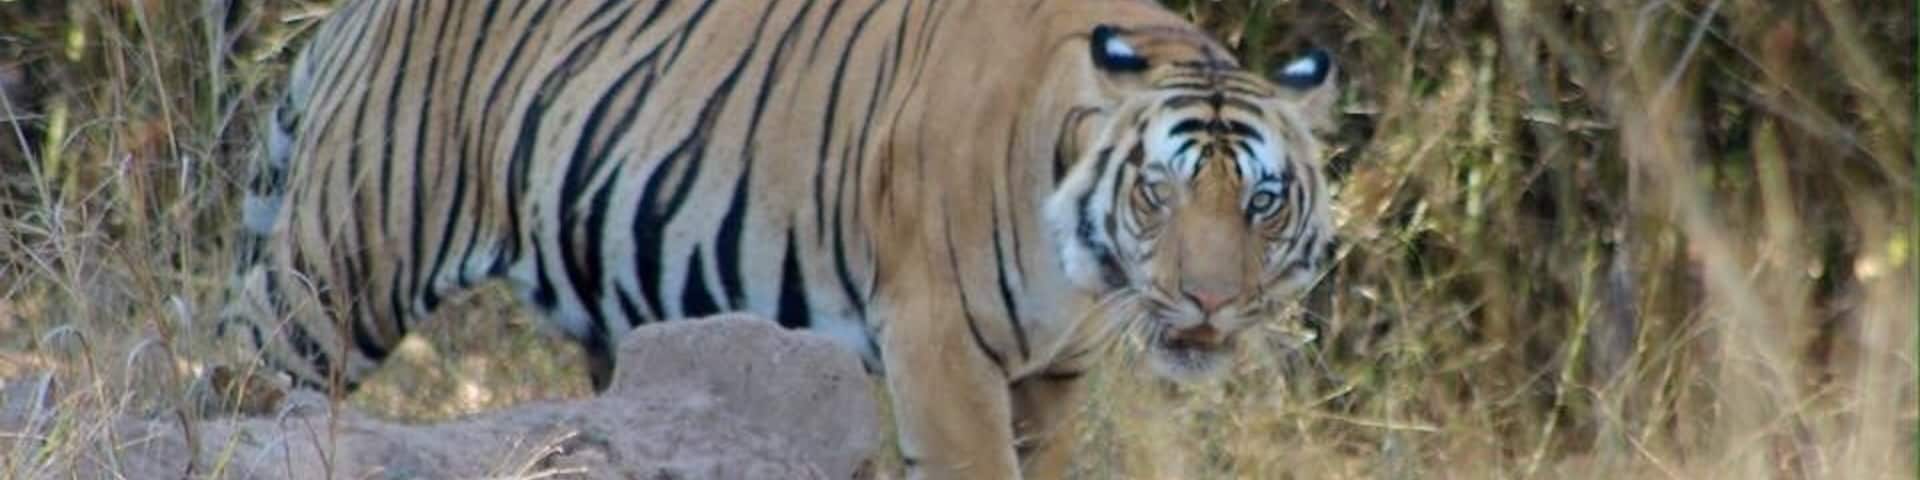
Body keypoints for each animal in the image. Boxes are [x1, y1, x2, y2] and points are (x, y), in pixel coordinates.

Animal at [220, 0, 1340, 478]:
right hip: (340, 268)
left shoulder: (1053, 379)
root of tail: (359, 16)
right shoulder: (941, 350)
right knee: (237, 384)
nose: (1208, 302)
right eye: (1158, 192)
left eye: (1261, 203)